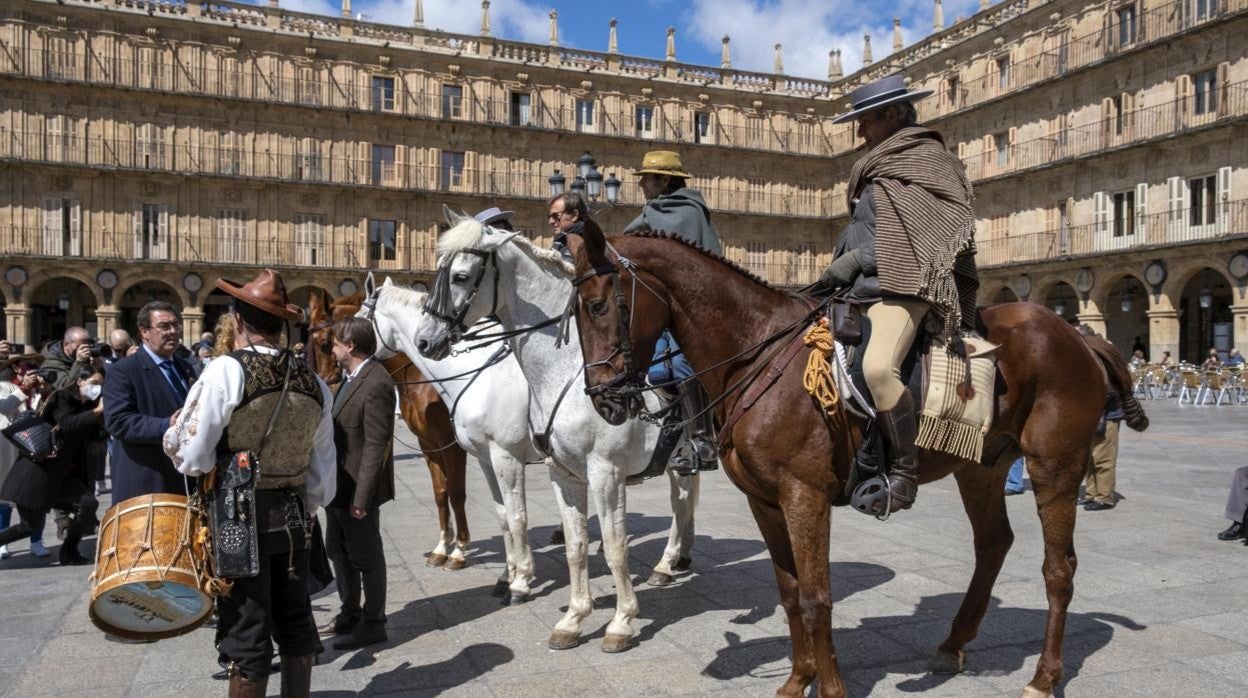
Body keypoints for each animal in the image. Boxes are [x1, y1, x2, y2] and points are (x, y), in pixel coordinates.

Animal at [307, 288, 471, 569]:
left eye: (326, 342)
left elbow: (457, 494)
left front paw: (458, 551)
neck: (423, 377)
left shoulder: (452, 446)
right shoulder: (429, 444)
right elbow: (441, 493)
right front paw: (441, 547)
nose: (325, 383)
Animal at [411, 216, 698, 654]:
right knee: (683, 501)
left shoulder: (604, 473)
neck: (569, 371)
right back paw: (673, 561)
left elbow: (614, 546)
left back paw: (668, 562)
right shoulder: (561, 472)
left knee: (681, 503)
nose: (425, 339)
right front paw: (574, 619)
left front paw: (620, 622)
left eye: (459, 276)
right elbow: (575, 546)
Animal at [566, 231, 1148, 698]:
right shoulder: (764, 501)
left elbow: (817, 597)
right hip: (980, 466)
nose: (604, 401)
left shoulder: (804, 495)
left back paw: (1043, 678)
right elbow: (789, 591)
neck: (756, 351)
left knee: (1058, 567)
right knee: (993, 544)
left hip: (1055, 465)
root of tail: (1078, 335)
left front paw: (830, 689)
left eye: (597, 306)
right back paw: (953, 644)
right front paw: (797, 680)